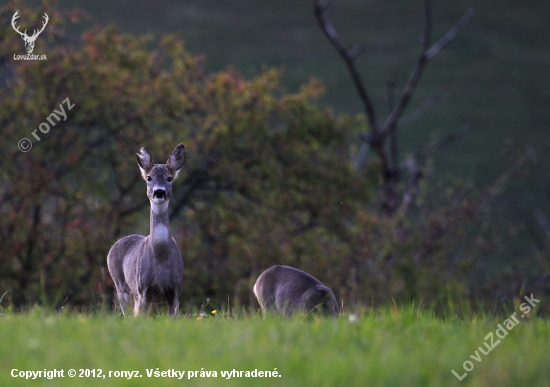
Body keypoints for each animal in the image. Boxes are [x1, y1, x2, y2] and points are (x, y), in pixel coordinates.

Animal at [108, 144, 188, 316]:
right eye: (149, 178)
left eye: (169, 178)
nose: (159, 192)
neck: (161, 258)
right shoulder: (143, 289)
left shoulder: (175, 290)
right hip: (121, 285)